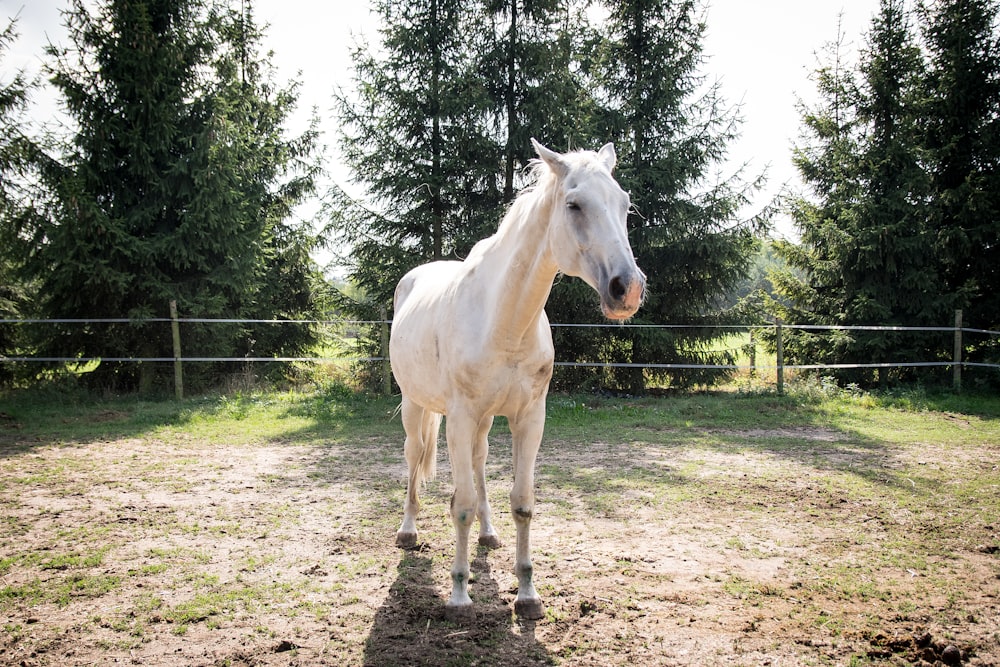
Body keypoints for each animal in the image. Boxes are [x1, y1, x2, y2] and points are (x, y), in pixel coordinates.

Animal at [386, 138, 644, 624]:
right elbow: (461, 506)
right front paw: (459, 597)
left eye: (624, 204)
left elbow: (522, 503)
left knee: (480, 462)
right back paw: (407, 531)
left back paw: (489, 533)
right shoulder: (460, 417)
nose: (628, 289)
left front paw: (527, 593)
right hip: (416, 406)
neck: (503, 319)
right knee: (413, 458)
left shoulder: (529, 418)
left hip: (485, 421)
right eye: (574, 204)